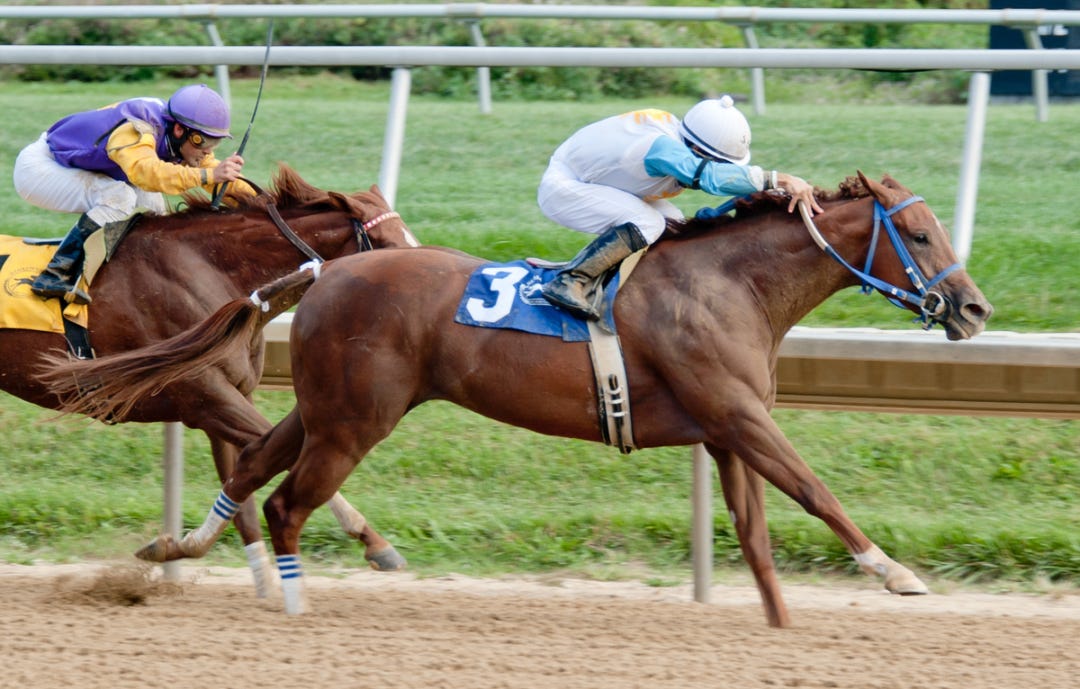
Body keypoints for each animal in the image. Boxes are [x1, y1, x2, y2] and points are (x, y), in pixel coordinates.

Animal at [7, 164, 418, 595]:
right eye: (389, 243)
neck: (208, 269)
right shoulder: (206, 397)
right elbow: (277, 459)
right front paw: (375, 543)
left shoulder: (225, 400)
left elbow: (243, 488)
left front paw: (260, 582)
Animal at [41, 172, 993, 627]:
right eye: (917, 232)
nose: (975, 309)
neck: (730, 283)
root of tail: (323, 270)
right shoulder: (740, 416)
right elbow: (815, 489)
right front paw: (896, 573)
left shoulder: (726, 428)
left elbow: (758, 538)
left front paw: (782, 626)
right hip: (356, 419)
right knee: (285, 503)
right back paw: (298, 602)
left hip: (326, 405)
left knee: (251, 466)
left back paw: (176, 548)